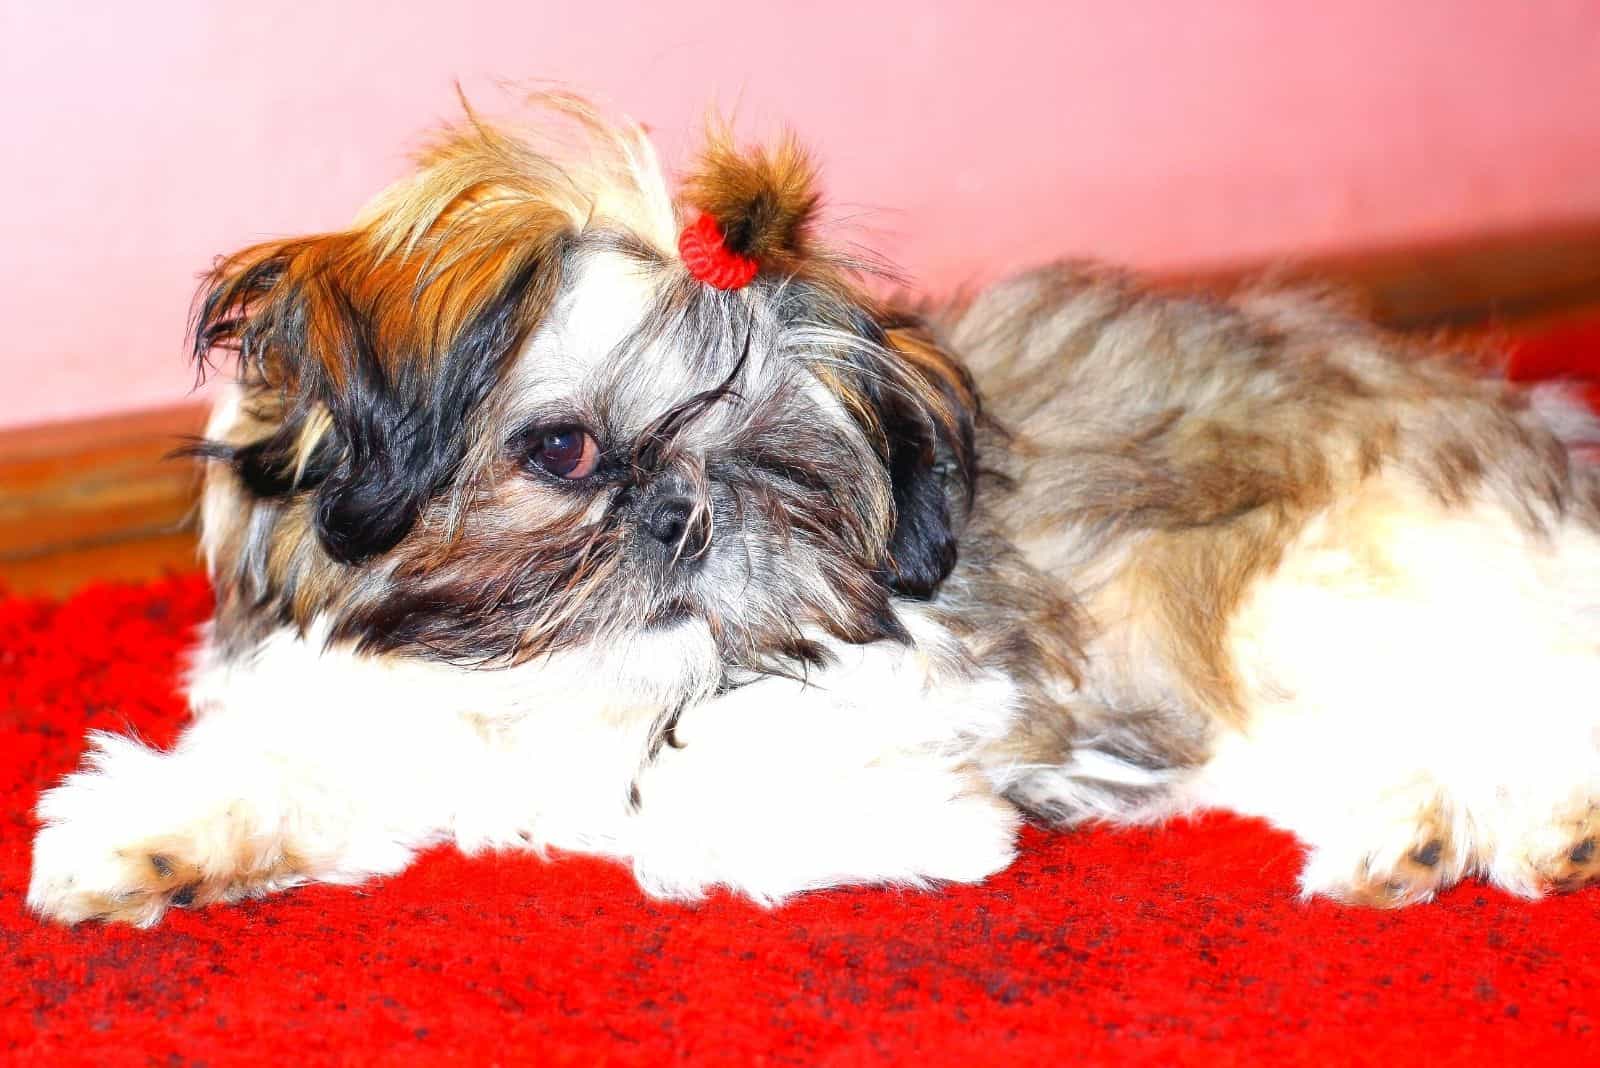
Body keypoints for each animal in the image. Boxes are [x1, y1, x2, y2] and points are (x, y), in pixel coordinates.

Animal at [28, 93, 1600, 927]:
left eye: (776, 461)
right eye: (564, 450)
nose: (686, 513)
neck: (557, 695)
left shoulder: (928, 690)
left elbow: (680, 813)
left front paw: (914, 822)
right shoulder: (374, 706)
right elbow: (297, 768)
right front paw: (148, 837)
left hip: (1322, 592)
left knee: (1531, 696)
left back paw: (1538, 819)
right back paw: (1412, 835)